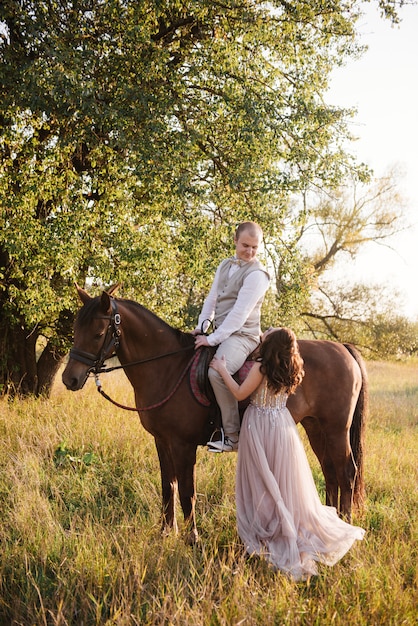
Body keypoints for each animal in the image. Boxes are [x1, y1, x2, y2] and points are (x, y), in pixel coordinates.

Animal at [62, 284, 366, 540]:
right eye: (75, 329)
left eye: (98, 334)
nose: (70, 379)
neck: (168, 367)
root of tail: (343, 348)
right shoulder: (162, 441)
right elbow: (168, 486)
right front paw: (166, 533)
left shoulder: (182, 445)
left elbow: (187, 492)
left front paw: (192, 539)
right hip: (316, 427)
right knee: (330, 471)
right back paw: (329, 523)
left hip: (336, 429)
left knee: (346, 473)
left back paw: (346, 524)